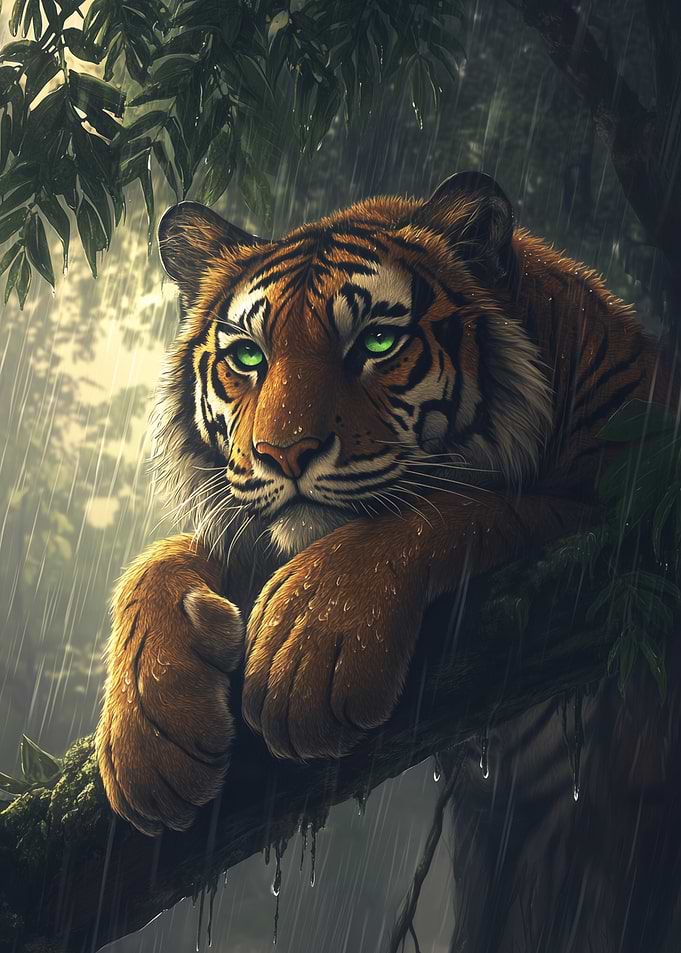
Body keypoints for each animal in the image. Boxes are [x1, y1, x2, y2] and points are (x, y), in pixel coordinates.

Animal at [95, 170, 671, 845]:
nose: (283, 453)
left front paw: (307, 641)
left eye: (376, 341)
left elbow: (466, 507)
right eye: (249, 357)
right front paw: (149, 732)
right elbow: (161, 559)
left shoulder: (620, 496)